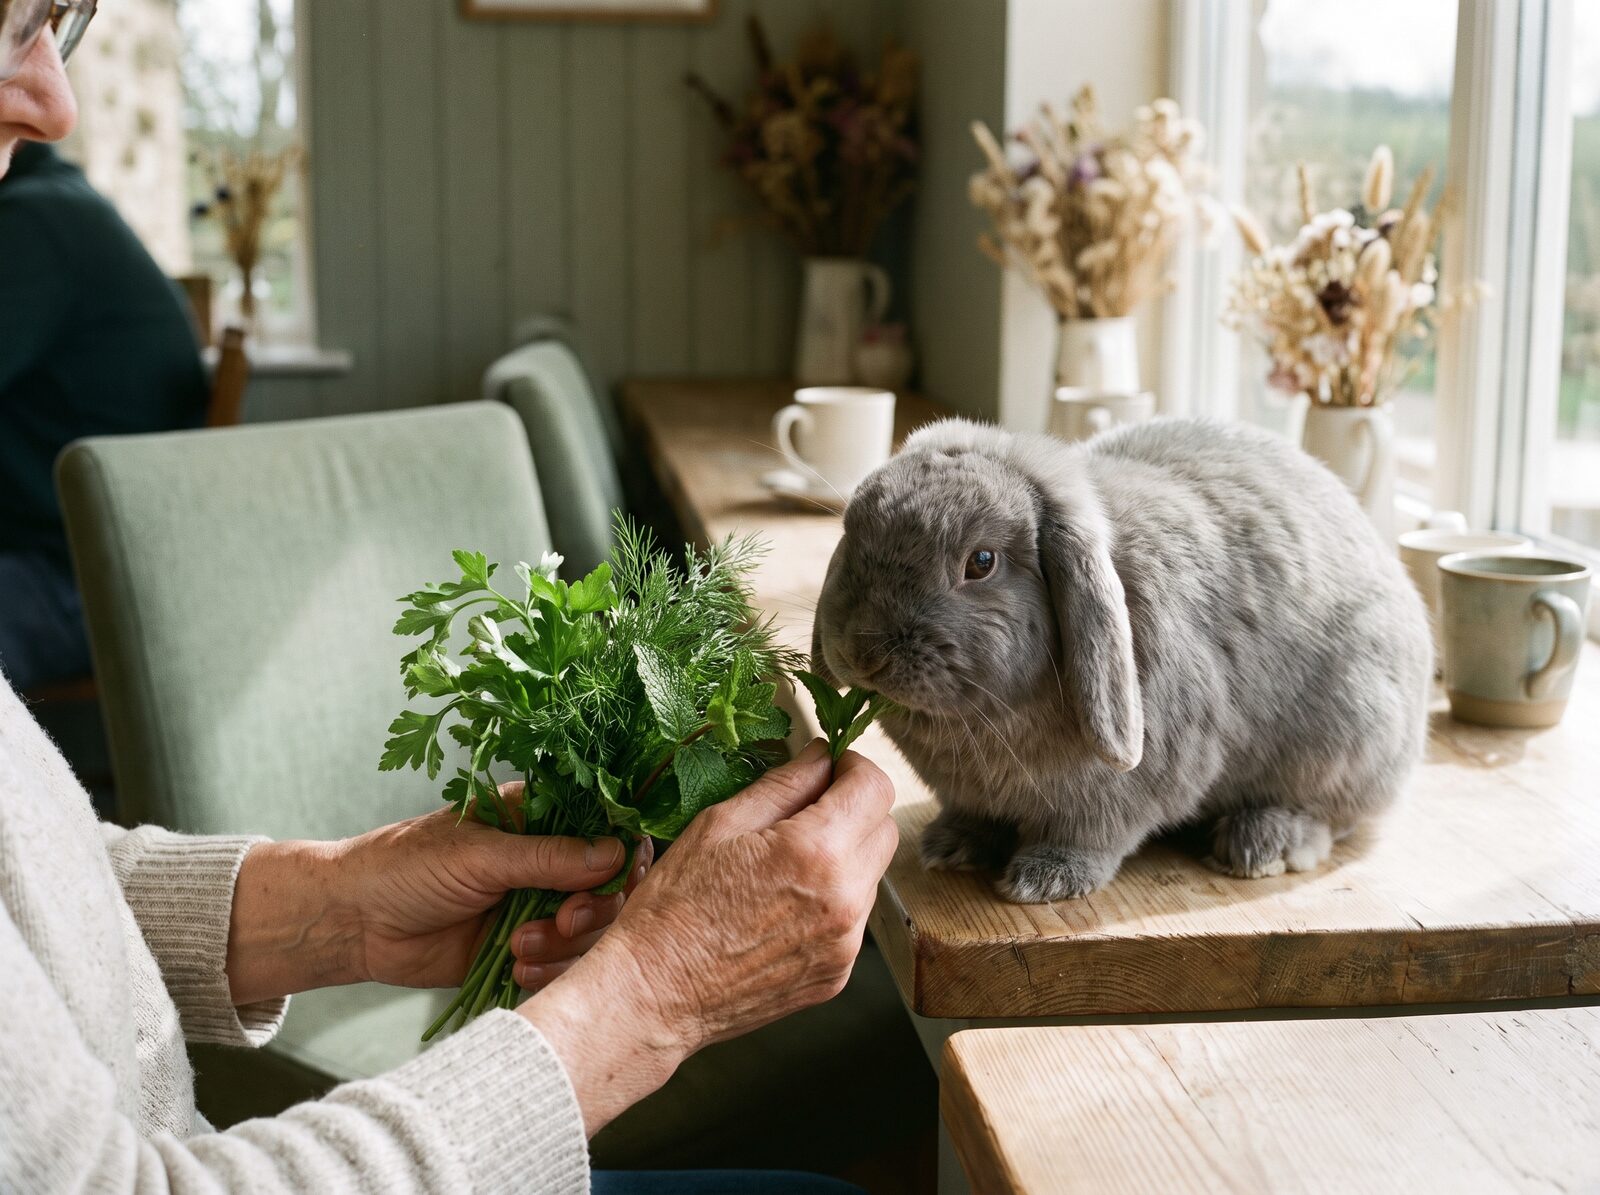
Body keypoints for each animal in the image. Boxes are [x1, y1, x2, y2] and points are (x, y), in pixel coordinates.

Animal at [811, 416, 1432, 904]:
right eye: (852, 538)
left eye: (981, 562)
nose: (864, 652)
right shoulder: (968, 792)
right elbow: (972, 815)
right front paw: (952, 846)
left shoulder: (1125, 792)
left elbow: (1093, 835)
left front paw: (1044, 880)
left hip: (1351, 731)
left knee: (1332, 815)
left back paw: (1262, 844)